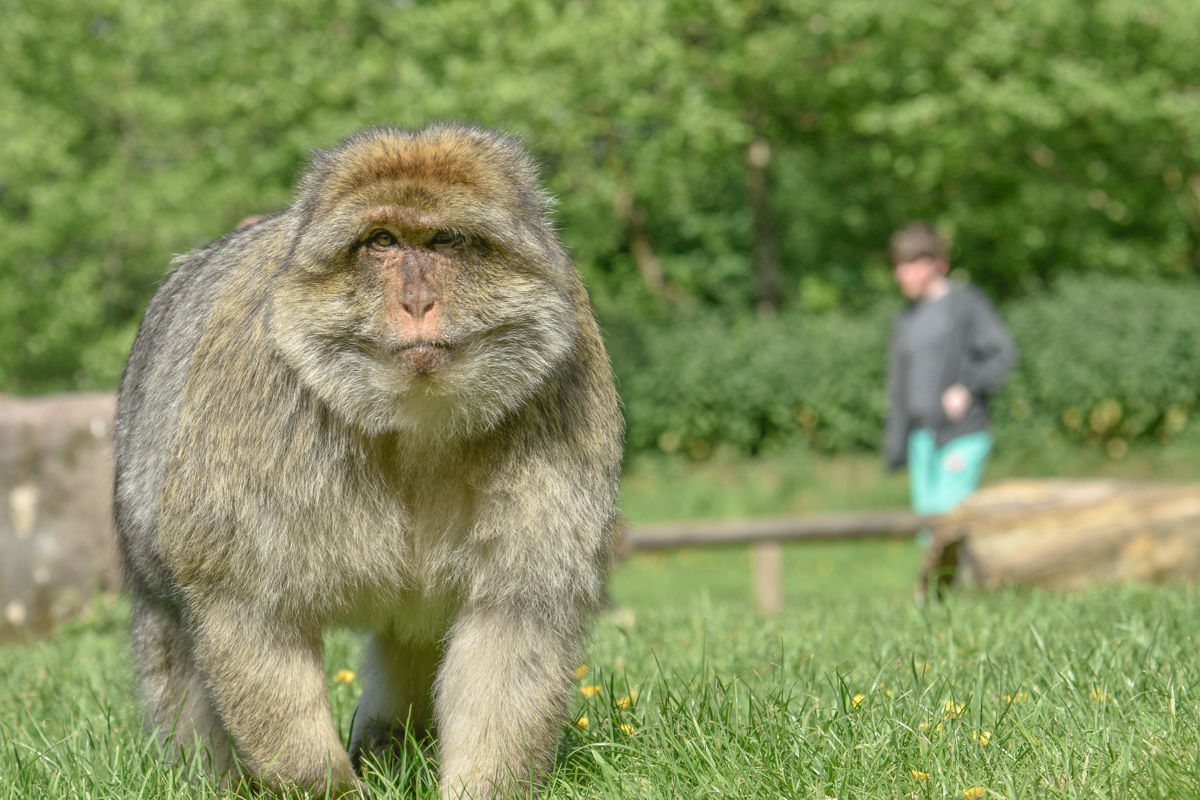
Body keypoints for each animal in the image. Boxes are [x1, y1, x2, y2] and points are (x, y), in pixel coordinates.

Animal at [112, 123, 624, 799]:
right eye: (382, 241)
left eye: (444, 240)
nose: (417, 301)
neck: (409, 426)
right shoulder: (255, 413)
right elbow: (250, 611)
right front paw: (324, 784)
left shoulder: (562, 396)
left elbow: (516, 617)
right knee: (173, 639)